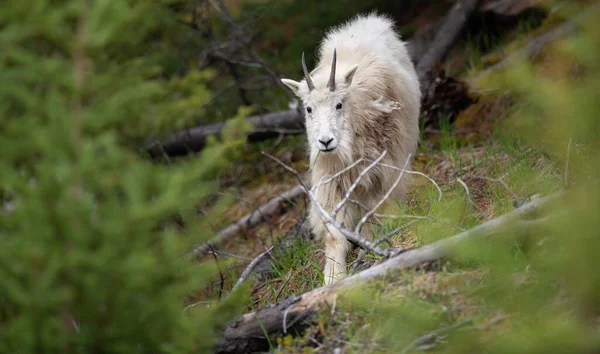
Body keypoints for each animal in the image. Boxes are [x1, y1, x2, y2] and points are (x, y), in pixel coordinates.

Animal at [280, 13, 418, 284]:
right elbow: (335, 233)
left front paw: (374, 243)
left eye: (339, 105)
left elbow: (377, 210)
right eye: (308, 109)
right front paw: (333, 277)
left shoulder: (384, 169)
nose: (325, 142)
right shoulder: (332, 180)